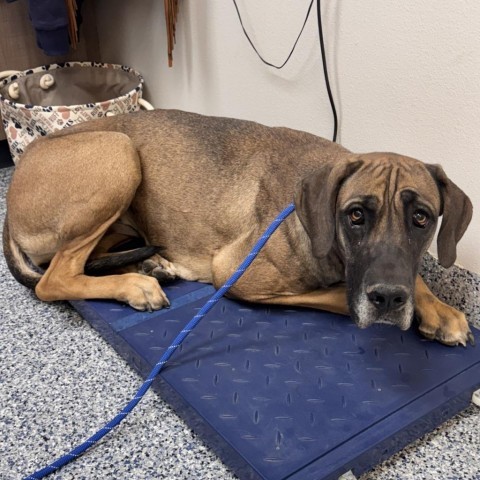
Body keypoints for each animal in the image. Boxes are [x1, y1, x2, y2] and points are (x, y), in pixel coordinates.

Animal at [1, 110, 474, 346]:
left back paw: (151, 265)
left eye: (422, 218)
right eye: (356, 215)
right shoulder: (236, 273)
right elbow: (337, 295)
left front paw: (438, 309)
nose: (389, 299)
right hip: (118, 152)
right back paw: (135, 284)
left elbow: (413, 274)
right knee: (54, 279)